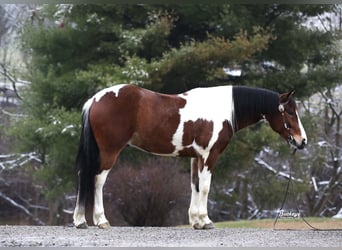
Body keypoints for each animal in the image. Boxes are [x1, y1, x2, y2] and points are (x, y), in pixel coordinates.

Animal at [72, 83, 308, 229]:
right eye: (289, 112)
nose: (302, 141)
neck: (223, 110)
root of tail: (94, 99)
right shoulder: (210, 155)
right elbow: (205, 187)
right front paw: (205, 220)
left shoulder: (197, 157)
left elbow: (195, 185)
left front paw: (196, 221)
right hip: (109, 151)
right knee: (97, 181)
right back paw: (101, 220)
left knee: (85, 177)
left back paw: (81, 221)